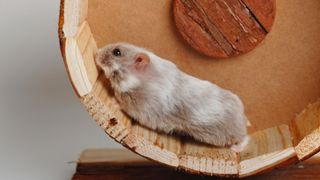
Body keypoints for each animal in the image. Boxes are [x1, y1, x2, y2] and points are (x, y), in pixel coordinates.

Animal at [96, 43, 249, 151]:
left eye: (117, 52)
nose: (96, 52)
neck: (139, 81)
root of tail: (242, 117)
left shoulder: (140, 109)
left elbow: (123, 104)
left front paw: (113, 100)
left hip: (228, 133)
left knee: (245, 138)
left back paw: (235, 149)